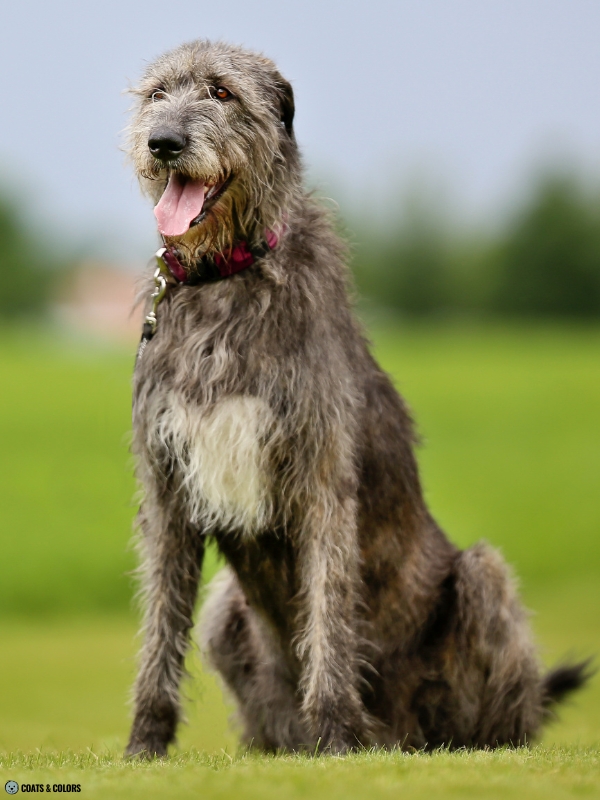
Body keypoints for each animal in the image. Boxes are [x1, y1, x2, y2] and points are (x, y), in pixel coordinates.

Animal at [124, 40, 588, 760]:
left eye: (222, 92)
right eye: (155, 95)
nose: (163, 142)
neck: (226, 278)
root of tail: (403, 735)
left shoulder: (321, 476)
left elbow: (329, 608)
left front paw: (336, 734)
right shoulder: (166, 484)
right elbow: (159, 624)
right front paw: (144, 746)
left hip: (482, 580)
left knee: (499, 701)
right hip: (227, 610)